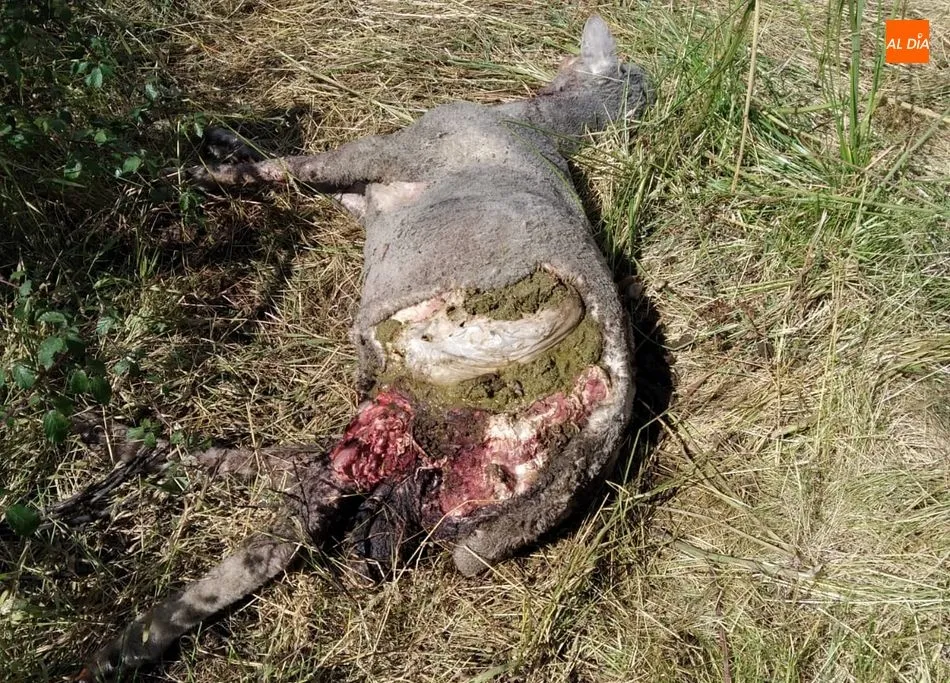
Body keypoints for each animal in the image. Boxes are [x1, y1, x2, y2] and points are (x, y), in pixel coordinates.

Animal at [76, 15, 652, 679]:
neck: (536, 123)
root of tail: (582, 453)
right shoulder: (369, 192)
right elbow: (304, 179)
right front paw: (222, 142)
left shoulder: (386, 149)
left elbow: (291, 168)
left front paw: (201, 171)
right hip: (415, 461)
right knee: (311, 489)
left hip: (408, 395)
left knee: (299, 514)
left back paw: (123, 625)